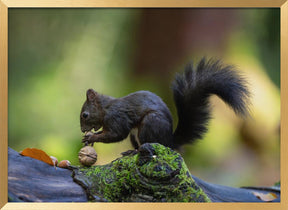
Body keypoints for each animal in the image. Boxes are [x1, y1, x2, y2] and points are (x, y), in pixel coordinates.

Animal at [80, 57, 250, 149]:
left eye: (85, 115)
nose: (82, 130)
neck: (105, 109)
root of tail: (169, 142)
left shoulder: (117, 118)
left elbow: (116, 134)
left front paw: (92, 137)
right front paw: (90, 137)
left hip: (150, 124)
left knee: (148, 145)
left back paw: (133, 152)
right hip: (135, 136)